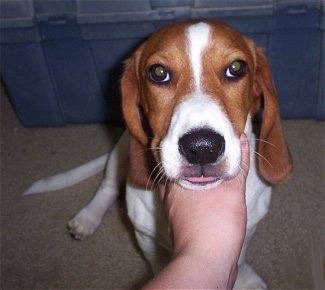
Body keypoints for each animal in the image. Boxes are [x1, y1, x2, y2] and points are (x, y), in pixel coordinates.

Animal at [24, 20, 292, 288]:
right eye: (159, 73)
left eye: (236, 68)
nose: (202, 148)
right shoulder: (145, 238)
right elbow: (157, 264)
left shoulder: (246, 233)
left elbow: (238, 259)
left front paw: (244, 277)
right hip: (121, 151)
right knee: (108, 187)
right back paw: (87, 218)